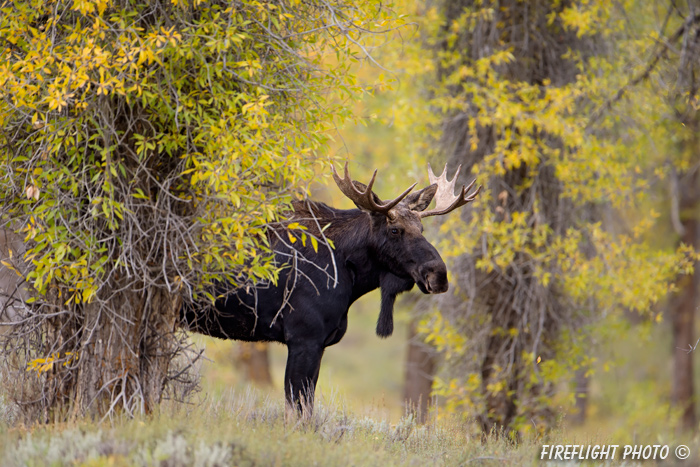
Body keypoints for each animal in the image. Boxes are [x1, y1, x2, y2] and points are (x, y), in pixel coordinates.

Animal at [182, 164, 482, 414]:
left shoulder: (320, 343)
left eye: (421, 227)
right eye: (395, 230)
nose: (439, 275)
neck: (350, 274)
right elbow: (299, 411)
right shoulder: (304, 338)